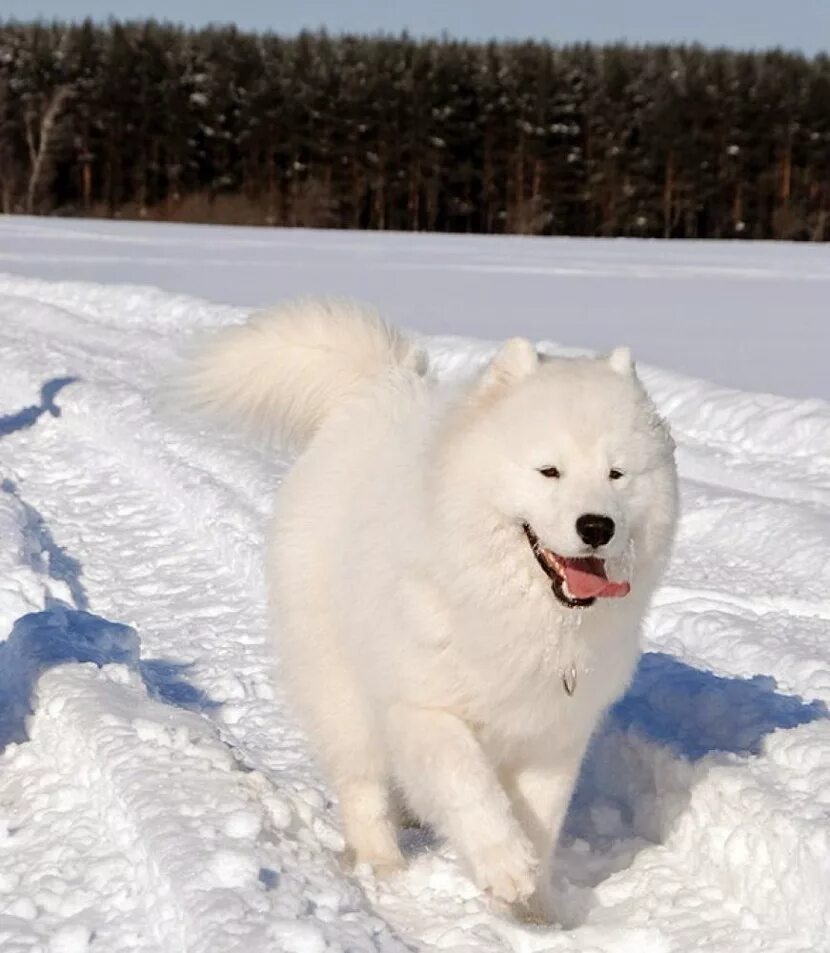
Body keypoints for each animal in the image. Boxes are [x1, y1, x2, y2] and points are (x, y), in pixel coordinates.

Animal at [179, 300, 680, 924]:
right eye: (549, 471)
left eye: (617, 473)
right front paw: (505, 866)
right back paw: (382, 863)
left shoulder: (552, 734)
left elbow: (540, 820)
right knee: (363, 783)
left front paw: (532, 910)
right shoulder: (423, 707)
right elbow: (468, 785)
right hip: (341, 686)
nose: (596, 526)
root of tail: (375, 389)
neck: (520, 614)